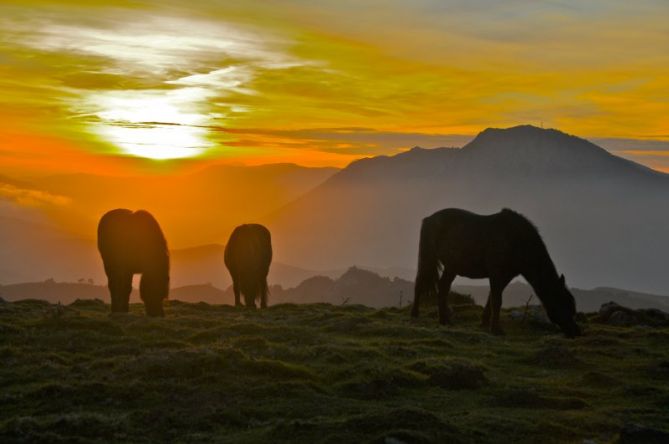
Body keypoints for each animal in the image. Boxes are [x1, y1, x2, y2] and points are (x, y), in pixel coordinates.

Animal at [410, 208, 576, 336]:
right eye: (564, 302)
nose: (576, 332)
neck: (517, 240)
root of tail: (429, 219)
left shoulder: (505, 276)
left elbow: (492, 298)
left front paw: (485, 322)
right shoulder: (496, 273)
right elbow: (497, 300)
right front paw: (496, 330)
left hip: (452, 266)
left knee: (443, 287)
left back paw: (444, 320)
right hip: (428, 258)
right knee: (420, 282)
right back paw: (415, 314)